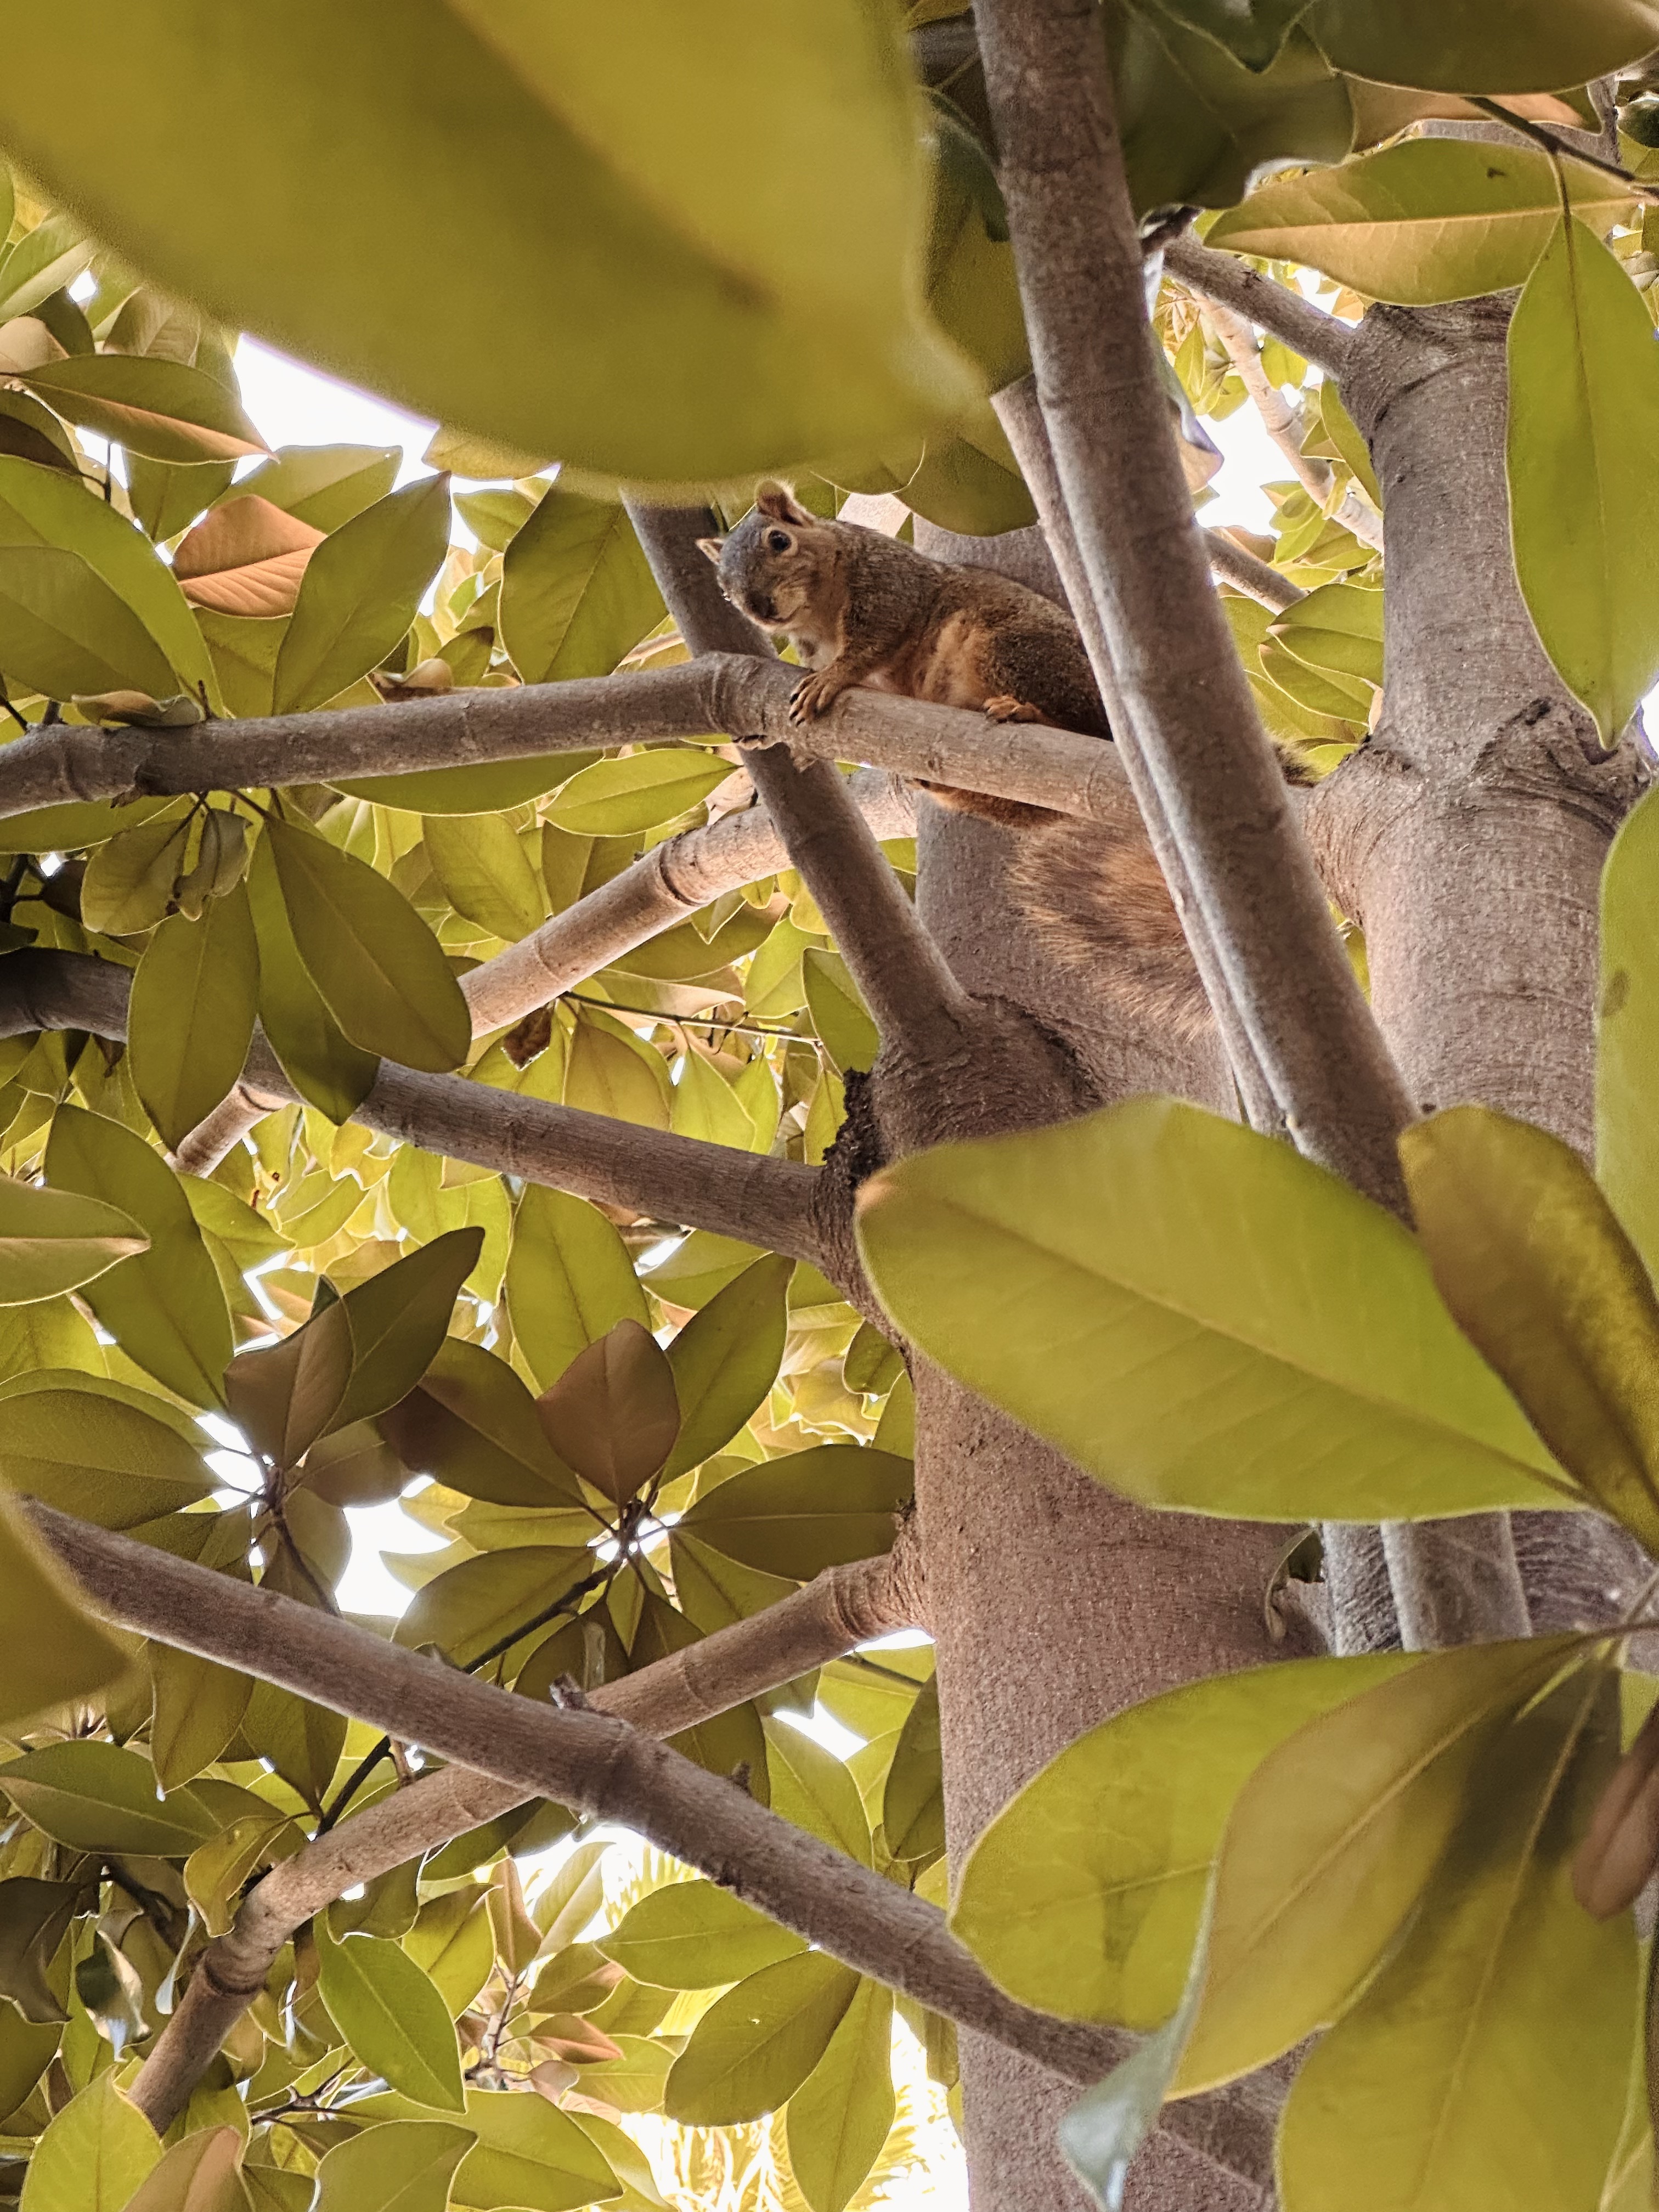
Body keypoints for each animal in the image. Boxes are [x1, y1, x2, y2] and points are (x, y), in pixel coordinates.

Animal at [699, 481, 1212, 1038]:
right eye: (723, 587)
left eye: (778, 540)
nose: (761, 607)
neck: (820, 612)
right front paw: (771, 738)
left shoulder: (892, 585)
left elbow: (871, 644)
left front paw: (831, 679)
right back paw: (934, 782)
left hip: (1015, 648)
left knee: (1084, 722)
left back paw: (1023, 711)